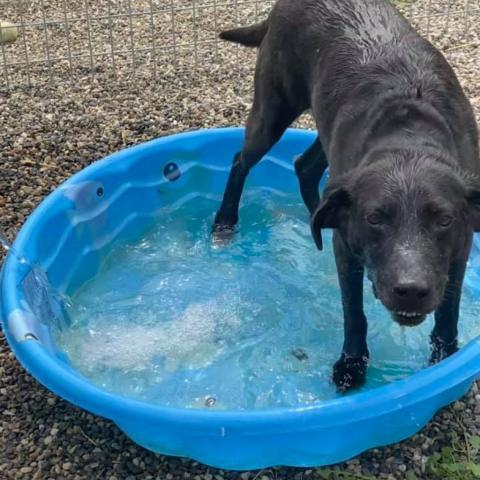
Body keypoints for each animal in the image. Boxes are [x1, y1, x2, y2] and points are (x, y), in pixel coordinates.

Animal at [214, 0, 480, 390]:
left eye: (443, 219)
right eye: (375, 218)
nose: (411, 290)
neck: (410, 136)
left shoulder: (459, 249)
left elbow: (448, 312)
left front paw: (444, 358)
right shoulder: (348, 251)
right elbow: (354, 314)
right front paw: (352, 366)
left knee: (305, 167)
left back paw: (315, 216)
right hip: (273, 109)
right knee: (239, 161)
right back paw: (224, 222)